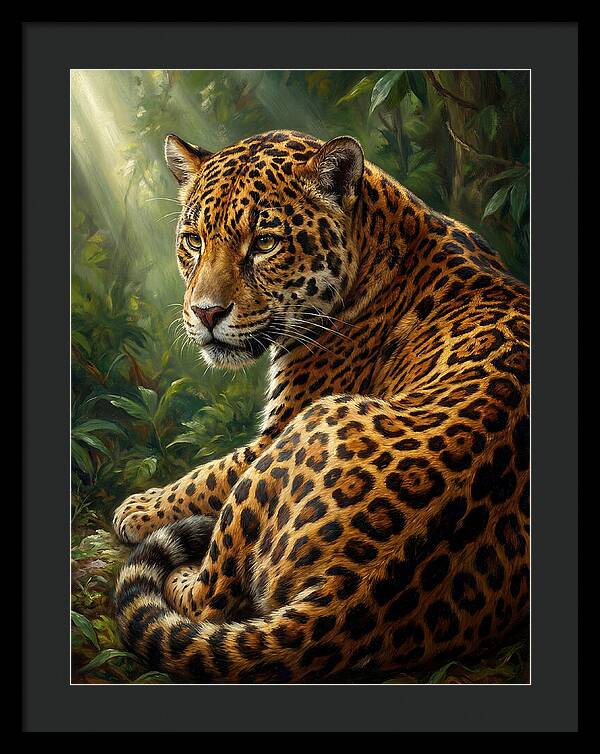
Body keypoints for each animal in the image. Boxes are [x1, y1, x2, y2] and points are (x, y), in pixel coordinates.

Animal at [113, 129, 529, 683]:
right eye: (194, 240)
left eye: (265, 243)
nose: (205, 313)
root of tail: (350, 593)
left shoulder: (279, 426)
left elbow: (208, 475)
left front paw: (139, 509)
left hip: (305, 429)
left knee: (211, 599)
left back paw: (182, 571)